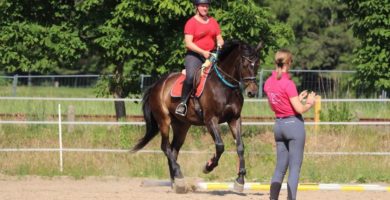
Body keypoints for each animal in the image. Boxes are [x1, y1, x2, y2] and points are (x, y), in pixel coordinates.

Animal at [133, 39, 264, 193]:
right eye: (244, 63)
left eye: (258, 63)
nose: (252, 92)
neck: (225, 86)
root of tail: (157, 85)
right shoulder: (210, 120)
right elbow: (220, 146)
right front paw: (208, 166)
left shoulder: (234, 119)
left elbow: (240, 146)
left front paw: (240, 180)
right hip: (164, 121)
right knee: (165, 147)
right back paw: (179, 175)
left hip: (182, 126)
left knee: (174, 150)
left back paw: (177, 182)